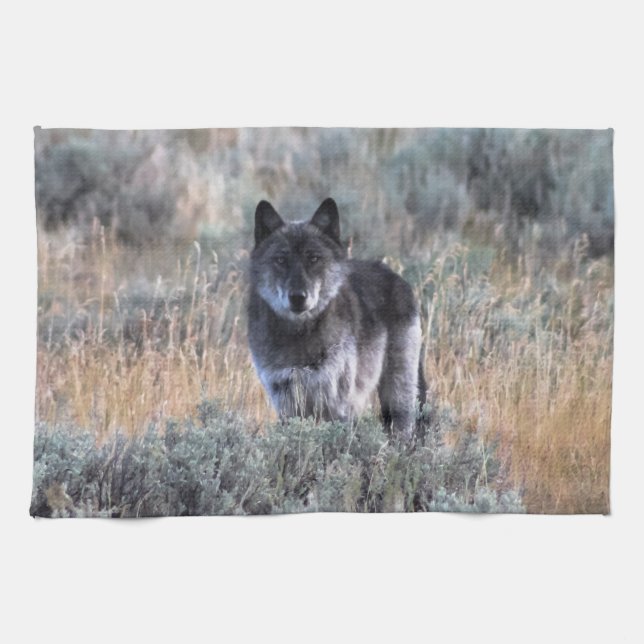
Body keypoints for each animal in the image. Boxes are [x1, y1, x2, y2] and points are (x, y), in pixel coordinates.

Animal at [248, 198, 426, 440]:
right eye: (281, 260)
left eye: (314, 258)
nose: (298, 297)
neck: (300, 335)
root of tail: (395, 277)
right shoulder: (287, 404)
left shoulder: (337, 406)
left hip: (398, 395)